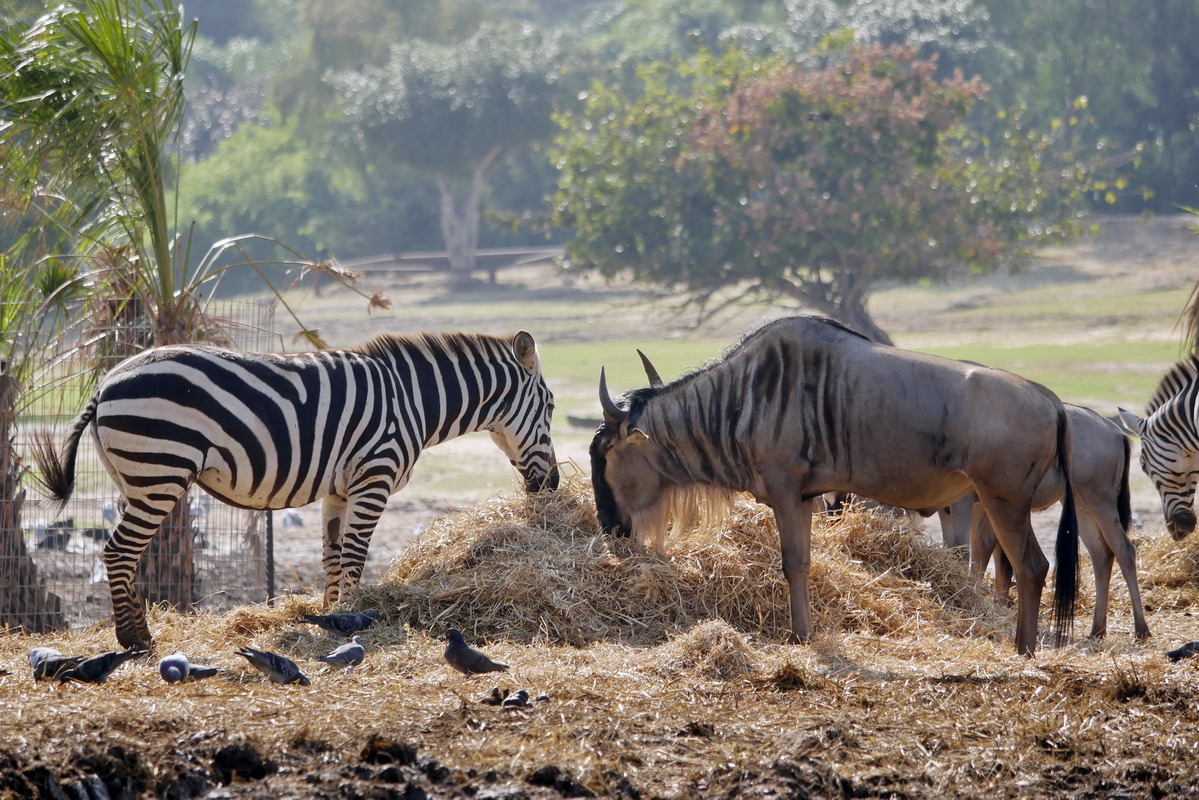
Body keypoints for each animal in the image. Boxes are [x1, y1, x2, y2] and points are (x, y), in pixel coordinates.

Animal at [35, 328, 558, 647]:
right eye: (551, 407)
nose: (551, 485)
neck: (413, 401)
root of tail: (106, 383)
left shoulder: (340, 488)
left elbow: (332, 556)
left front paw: (330, 615)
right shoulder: (374, 475)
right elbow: (356, 554)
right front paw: (351, 619)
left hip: (136, 478)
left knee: (127, 554)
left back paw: (138, 631)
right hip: (161, 469)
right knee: (118, 551)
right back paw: (135, 640)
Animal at [594, 314, 1083, 657]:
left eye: (603, 452)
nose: (609, 526)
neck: (740, 398)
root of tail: (1051, 401)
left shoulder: (786, 494)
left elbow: (792, 563)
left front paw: (799, 637)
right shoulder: (808, 498)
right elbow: (805, 562)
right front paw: (805, 632)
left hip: (1004, 501)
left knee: (1031, 566)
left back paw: (1023, 651)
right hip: (998, 503)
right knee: (1028, 566)